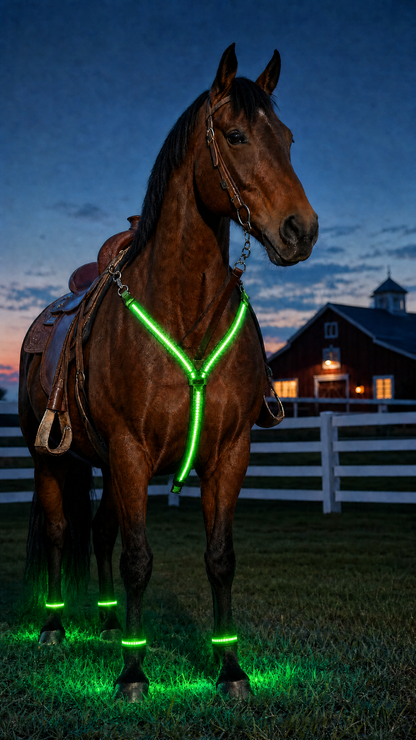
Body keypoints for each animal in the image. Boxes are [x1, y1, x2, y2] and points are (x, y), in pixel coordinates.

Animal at [19, 43, 318, 701]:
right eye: (236, 135)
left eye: (288, 138)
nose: (301, 230)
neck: (186, 314)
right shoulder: (131, 452)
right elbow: (139, 560)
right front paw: (133, 675)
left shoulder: (228, 454)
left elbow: (219, 558)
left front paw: (230, 669)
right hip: (52, 461)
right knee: (59, 533)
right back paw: (54, 628)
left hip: (104, 466)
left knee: (100, 532)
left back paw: (108, 625)